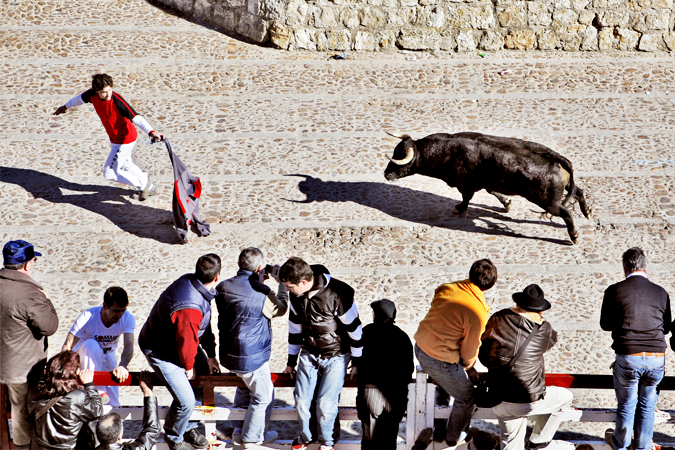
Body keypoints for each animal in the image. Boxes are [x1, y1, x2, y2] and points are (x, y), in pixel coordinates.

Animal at [386, 132, 592, 244]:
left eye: (401, 159)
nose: (386, 174)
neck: (445, 151)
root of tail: (556, 158)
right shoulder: (487, 182)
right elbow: (492, 191)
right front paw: (507, 203)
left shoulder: (466, 185)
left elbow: (466, 198)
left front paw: (459, 208)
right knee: (579, 192)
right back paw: (587, 211)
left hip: (547, 202)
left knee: (565, 212)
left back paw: (574, 235)